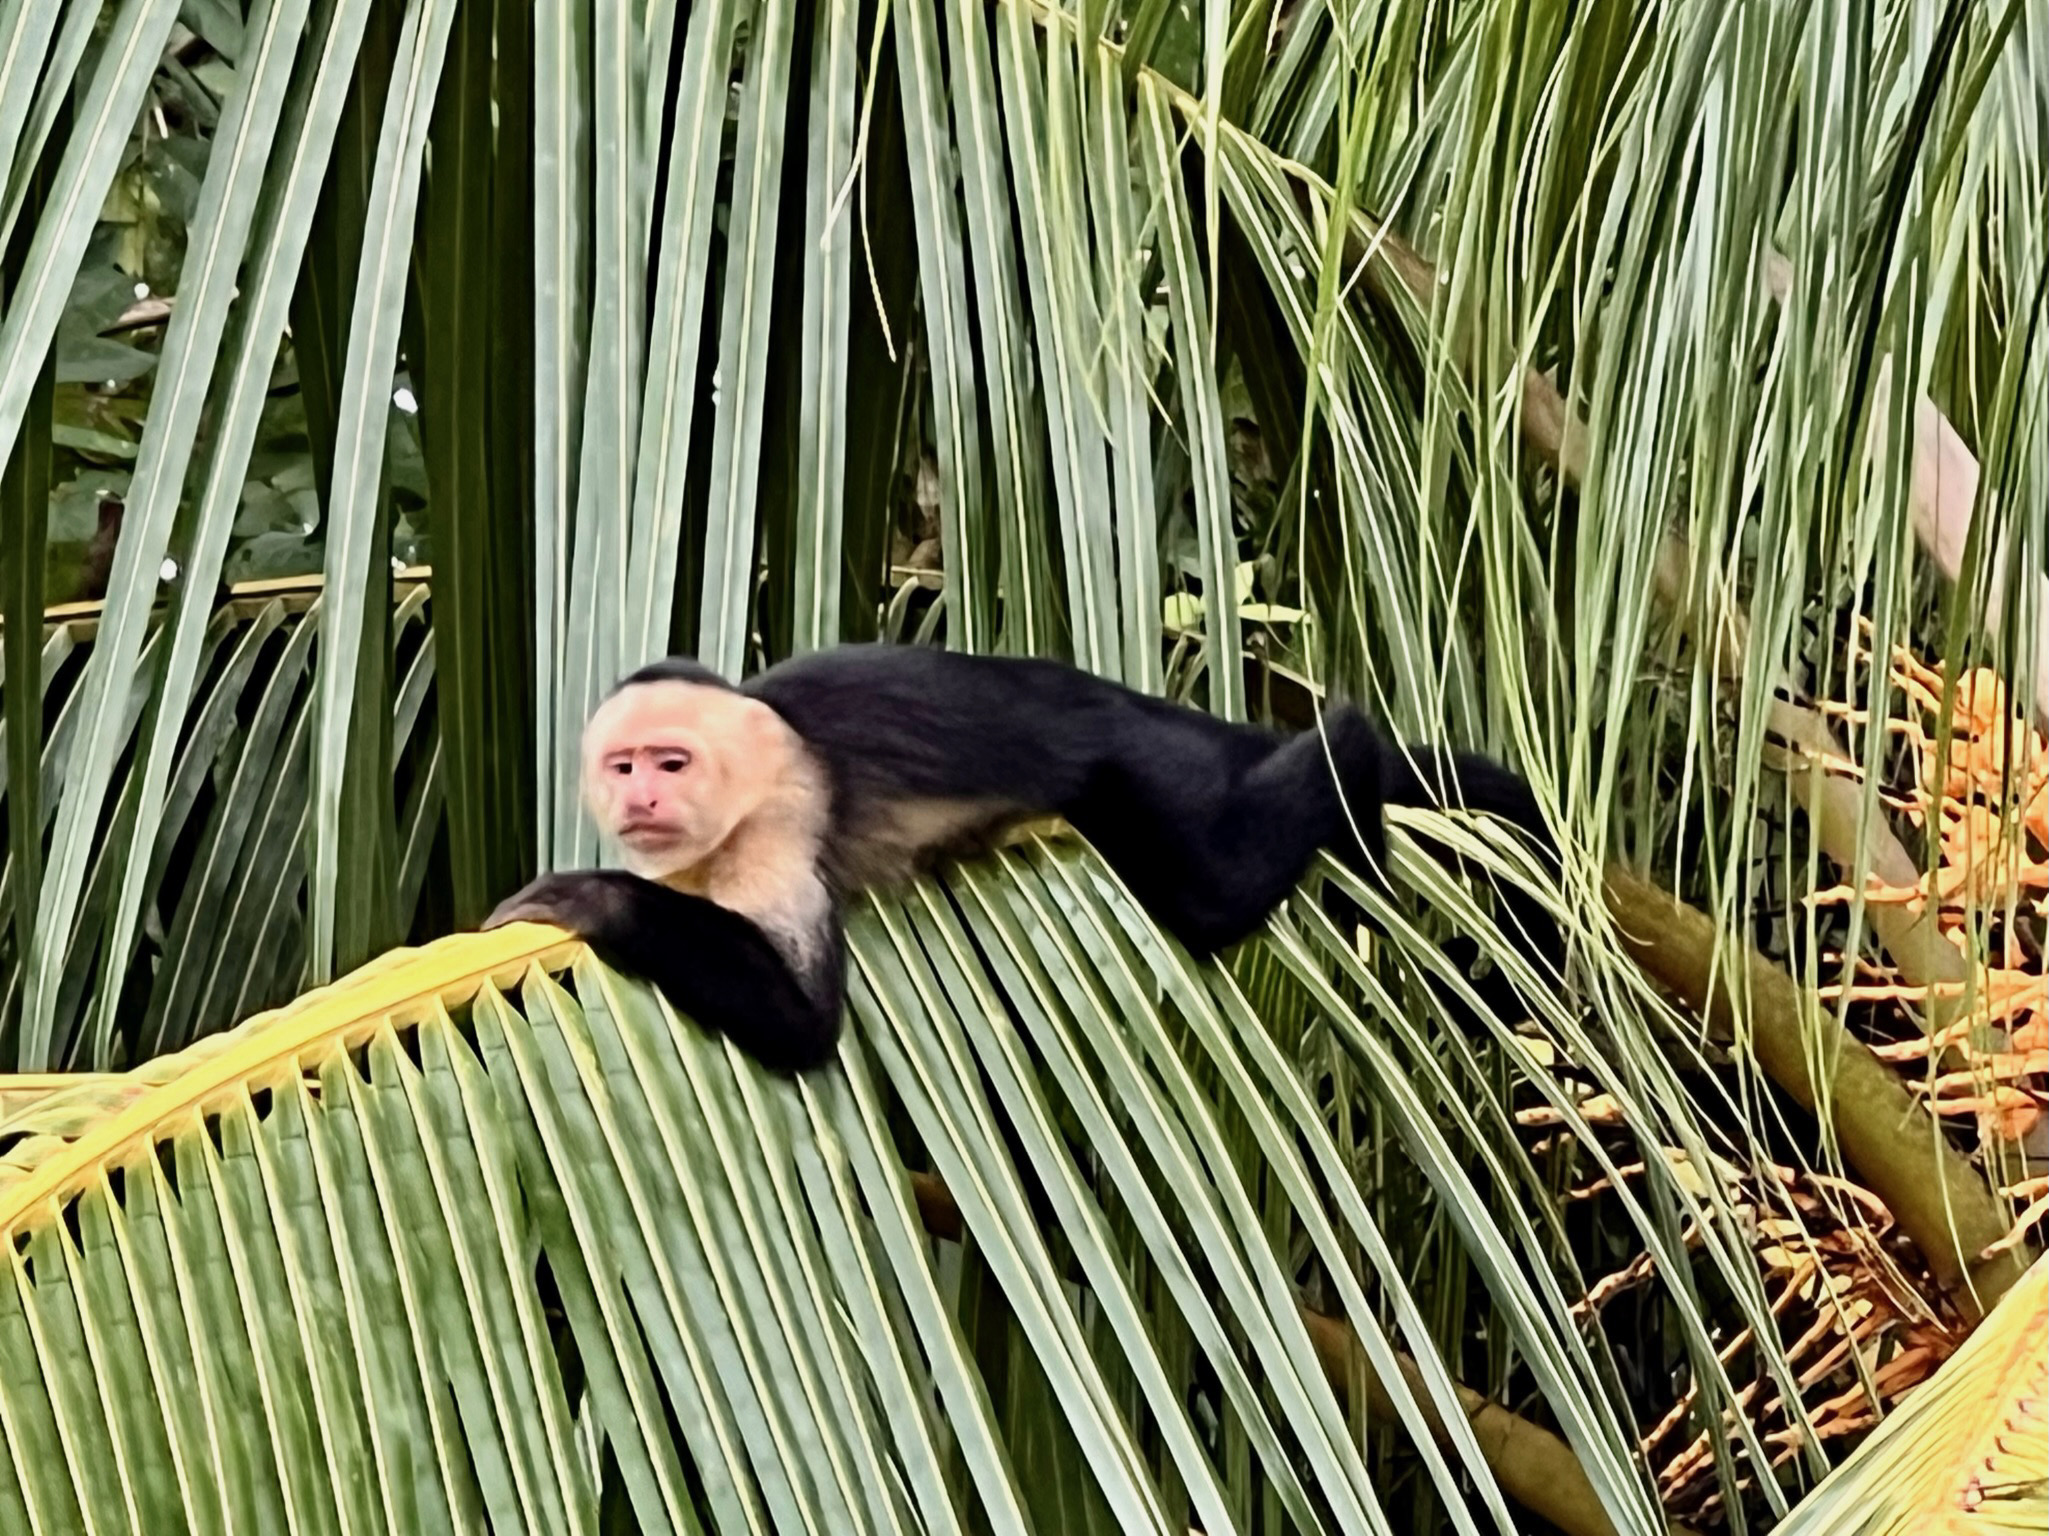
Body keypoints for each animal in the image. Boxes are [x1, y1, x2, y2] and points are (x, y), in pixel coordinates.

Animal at [483, 643, 1565, 1073]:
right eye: (623, 766)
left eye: (672, 761)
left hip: (1139, 758)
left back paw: (1350, 748)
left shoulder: (781, 819)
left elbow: (804, 1026)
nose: (642, 798)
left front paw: (595, 901)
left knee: (1209, 891)